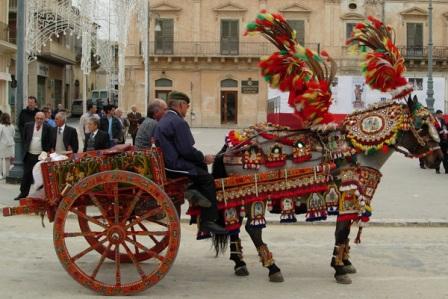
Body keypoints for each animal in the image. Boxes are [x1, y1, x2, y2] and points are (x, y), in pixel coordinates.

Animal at [208, 97, 442, 284]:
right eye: (422, 126)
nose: (436, 159)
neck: (355, 150)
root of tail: (233, 144)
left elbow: (346, 234)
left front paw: (345, 261)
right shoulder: (347, 195)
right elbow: (342, 232)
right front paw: (339, 269)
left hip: (239, 194)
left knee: (235, 227)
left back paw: (240, 263)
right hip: (254, 195)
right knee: (253, 229)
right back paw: (273, 268)